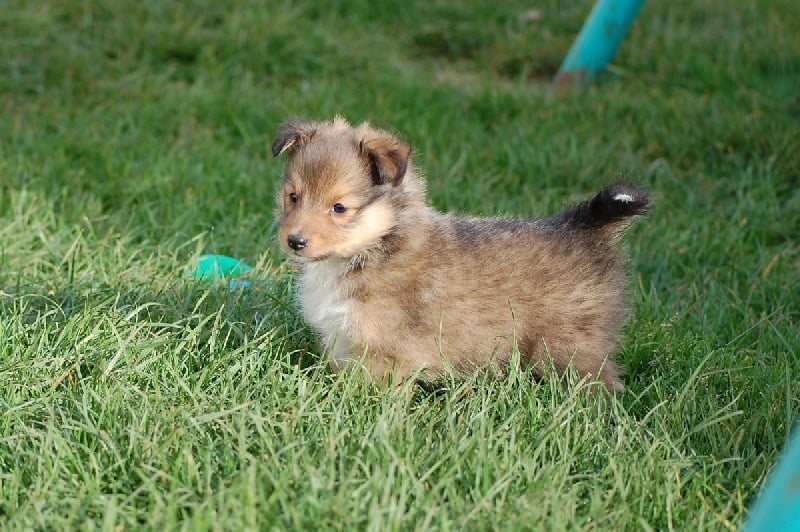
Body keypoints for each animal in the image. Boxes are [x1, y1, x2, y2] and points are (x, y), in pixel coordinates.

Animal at [272, 116, 648, 390]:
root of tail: (584, 225)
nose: (295, 240)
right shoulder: (342, 340)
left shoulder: (385, 350)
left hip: (571, 347)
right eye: (293, 197)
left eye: (339, 208)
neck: (377, 244)